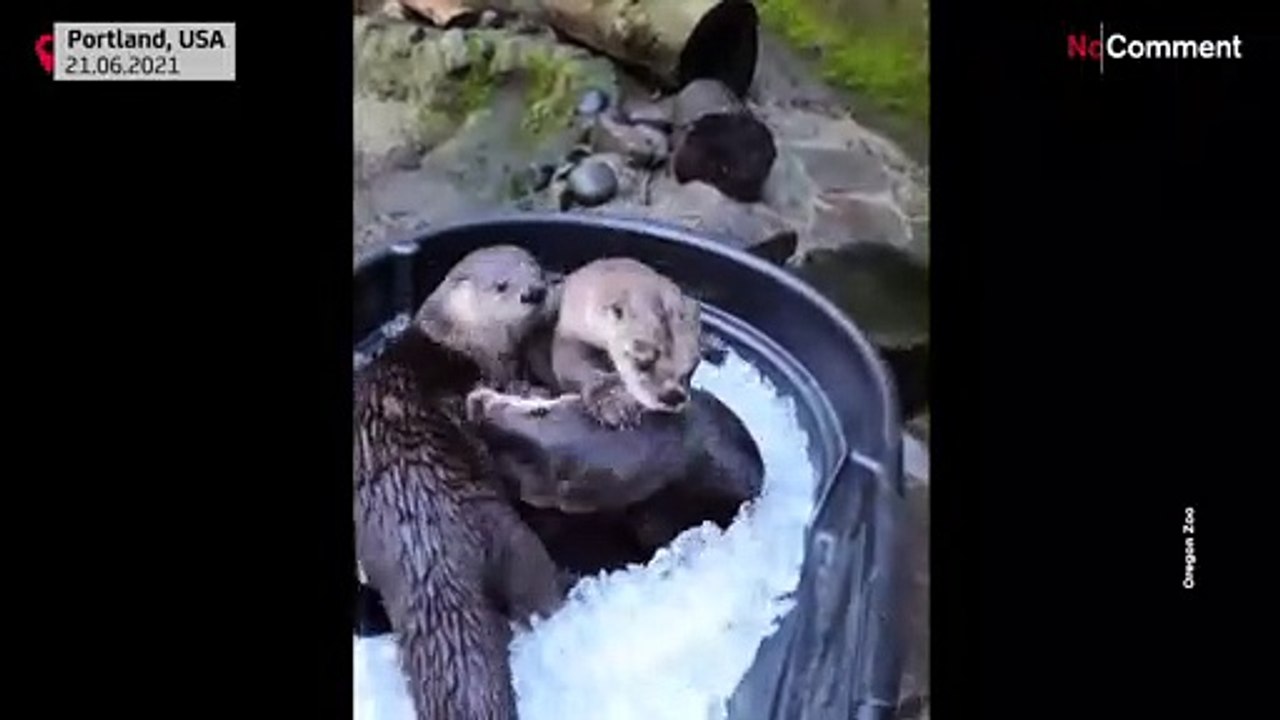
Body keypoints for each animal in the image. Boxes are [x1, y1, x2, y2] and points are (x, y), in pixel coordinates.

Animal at [354, 245, 566, 720]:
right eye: (501, 286)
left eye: (535, 269)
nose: (533, 291)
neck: (457, 343)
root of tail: (422, 543)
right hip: (505, 532)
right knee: (538, 586)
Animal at [551, 258, 703, 429]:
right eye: (642, 361)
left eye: (693, 367)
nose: (673, 396)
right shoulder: (570, 330)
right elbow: (569, 366)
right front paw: (608, 399)